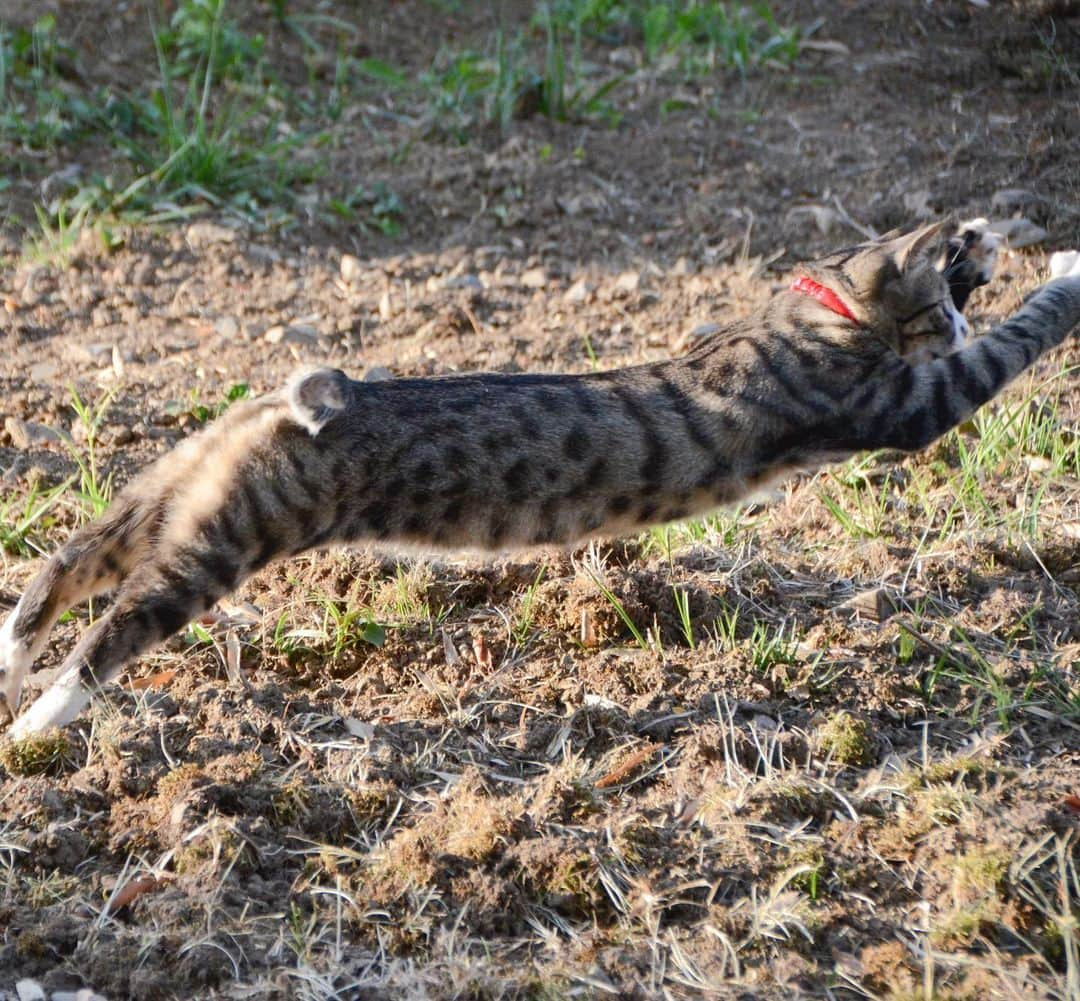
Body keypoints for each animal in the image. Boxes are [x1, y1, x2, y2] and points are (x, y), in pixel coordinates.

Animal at [2, 223, 1080, 734]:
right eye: (955, 270)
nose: (989, 235)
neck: (811, 310)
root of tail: (308, 399)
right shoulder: (908, 402)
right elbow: (1020, 337)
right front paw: (1067, 264)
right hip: (231, 535)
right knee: (110, 630)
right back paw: (41, 723)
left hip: (180, 488)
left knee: (69, 560)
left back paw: (11, 656)